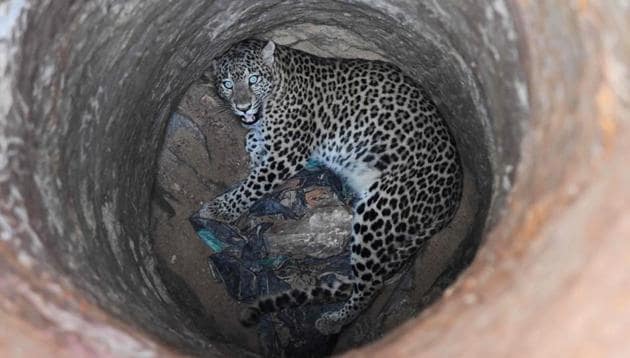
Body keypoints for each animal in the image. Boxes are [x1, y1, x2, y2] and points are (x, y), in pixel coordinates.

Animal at [198, 39, 464, 336]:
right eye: (228, 84)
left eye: (253, 79)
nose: (242, 107)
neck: (279, 80)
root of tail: (453, 198)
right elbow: (253, 146)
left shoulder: (287, 154)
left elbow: (254, 185)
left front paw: (220, 209)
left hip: (378, 211)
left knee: (369, 286)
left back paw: (333, 321)